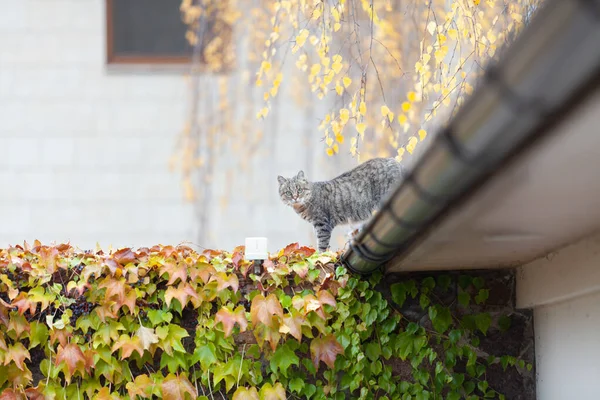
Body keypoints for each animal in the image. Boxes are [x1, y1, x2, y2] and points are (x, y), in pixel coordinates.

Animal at [278, 158, 406, 252]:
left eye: (299, 190)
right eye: (288, 192)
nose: (295, 197)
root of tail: (396, 162)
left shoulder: (322, 224)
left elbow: (322, 244)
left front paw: (320, 256)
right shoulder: (316, 225)